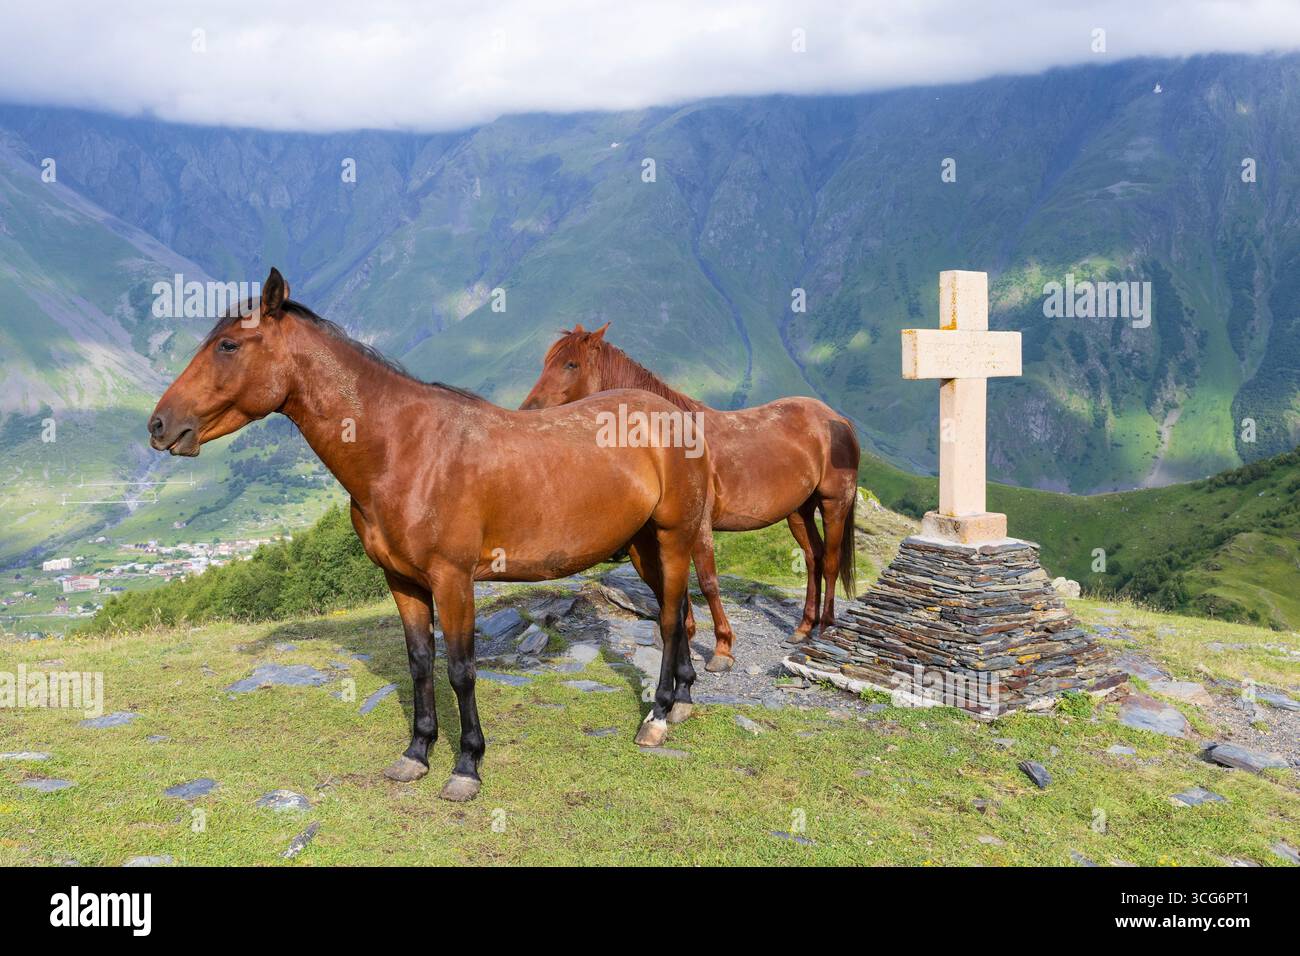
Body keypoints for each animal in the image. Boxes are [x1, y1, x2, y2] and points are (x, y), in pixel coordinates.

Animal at [148, 269, 713, 802]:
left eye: (228, 345)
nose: (159, 425)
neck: (404, 449)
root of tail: (674, 413)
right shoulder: (403, 581)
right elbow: (420, 663)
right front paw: (417, 753)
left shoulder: (453, 580)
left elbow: (460, 670)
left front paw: (467, 765)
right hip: (645, 546)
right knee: (678, 610)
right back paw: (681, 702)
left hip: (673, 537)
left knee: (668, 619)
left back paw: (657, 718)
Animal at [520, 324, 860, 669]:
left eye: (571, 364)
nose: (528, 411)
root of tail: (837, 419)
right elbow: (676, 586)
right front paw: (688, 639)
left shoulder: (699, 527)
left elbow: (707, 582)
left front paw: (722, 648)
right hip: (799, 512)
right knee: (813, 557)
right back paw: (803, 628)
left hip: (834, 504)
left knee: (830, 561)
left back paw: (825, 628)